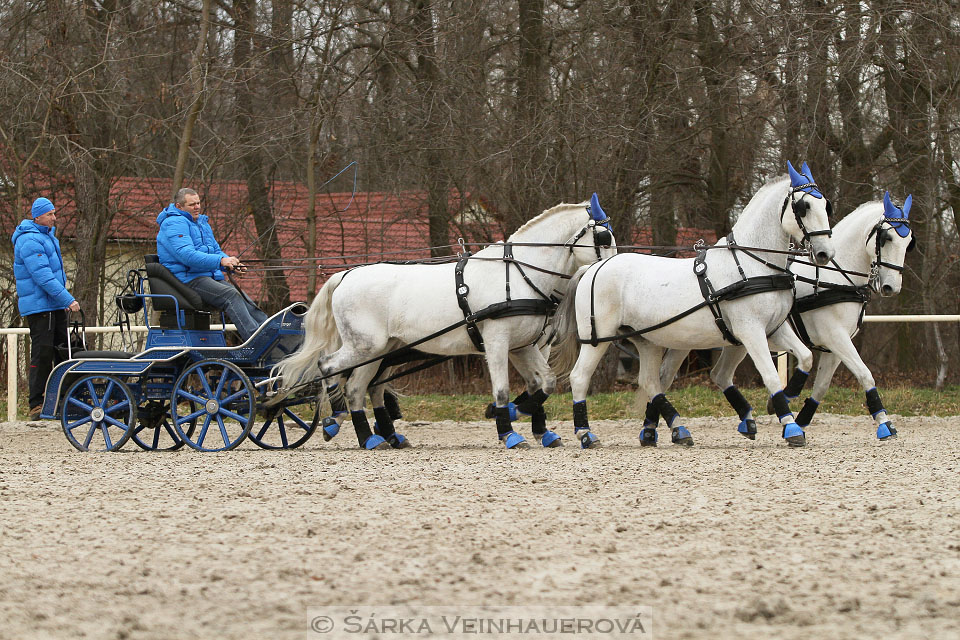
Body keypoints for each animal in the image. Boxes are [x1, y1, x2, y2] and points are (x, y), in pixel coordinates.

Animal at [274, 198, 616, 448]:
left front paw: (530, 422)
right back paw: (336, 420)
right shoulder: (497, 341)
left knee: (360, 387)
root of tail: (346, 275)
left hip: (380, 351)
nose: (612, 267)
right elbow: (502, 389)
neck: (518, 275)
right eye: (603, 237)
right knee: (329, 366)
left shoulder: (522, 345)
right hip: (364, 346)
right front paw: (508, 431)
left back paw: (371, 437)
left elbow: (544, 383)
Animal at [552, 162, 836, 448]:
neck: (752, 265)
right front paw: (791, 426)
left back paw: (677, 428)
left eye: (826, 205)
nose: (825, 253)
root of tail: (593, 268)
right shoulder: (750, 330)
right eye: (804, 206)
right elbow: (770, 375)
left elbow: (806, 357)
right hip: (598, 338)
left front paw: (789, 396)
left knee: (651, 381)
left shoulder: (773, 329)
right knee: (580, 377)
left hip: (647, 340)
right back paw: (586, 433)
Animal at [660, 190, 916, 440]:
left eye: (909, 242)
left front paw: (800, 417)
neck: (835, 278)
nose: (891, 287)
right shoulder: (835, 336)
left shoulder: (835, 345)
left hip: (731, 341)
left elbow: (822, 385)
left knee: (715, 374)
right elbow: (865, 374)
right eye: (887, 238)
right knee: (668, 377)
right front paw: (885, 423)